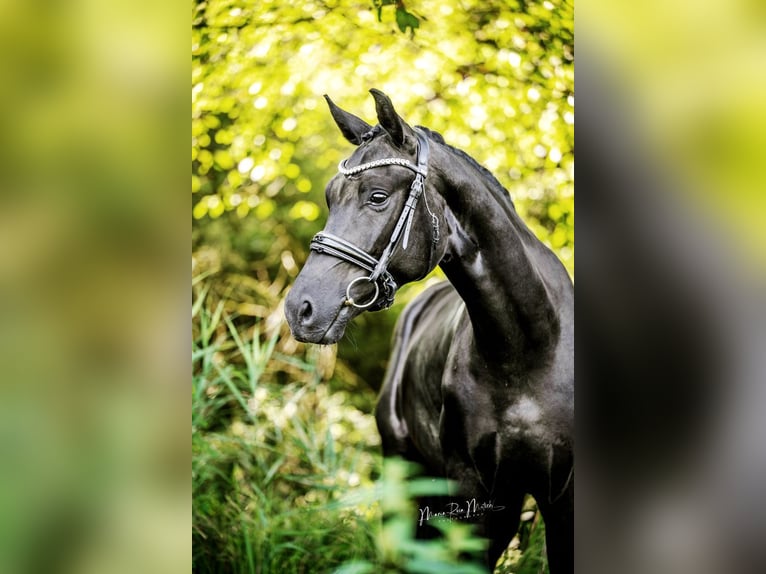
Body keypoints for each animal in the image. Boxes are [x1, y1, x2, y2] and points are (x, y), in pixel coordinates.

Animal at [284, 89, 572, 572]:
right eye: (329, 197)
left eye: (378, 196)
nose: (299, 309)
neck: (528, 347)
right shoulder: (471, 492)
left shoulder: (559, 497)